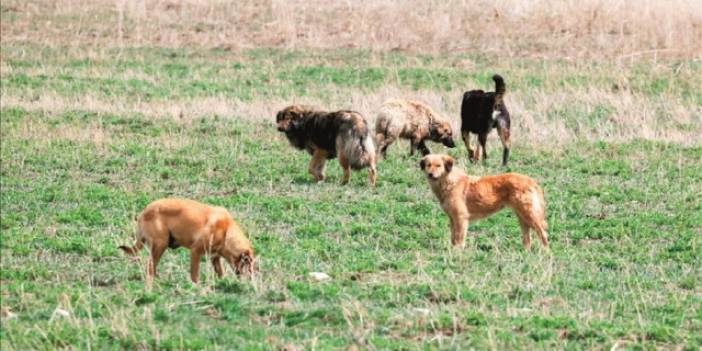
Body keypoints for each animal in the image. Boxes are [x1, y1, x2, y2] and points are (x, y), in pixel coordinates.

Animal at [119, 199, 258, 284]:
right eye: (248, 262)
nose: (252, 278)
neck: (226, 231)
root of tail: (144, 212)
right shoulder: (195, 251)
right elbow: (194, 274)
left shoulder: (215, 257)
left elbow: (220, 273)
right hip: (160, 245)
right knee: (150, 268)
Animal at [418, 155, 552, 250]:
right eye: (428, 165)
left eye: (438, 165)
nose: (430, 174)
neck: (449, 182)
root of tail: (531, 181)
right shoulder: (452, 218)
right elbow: (453, 237)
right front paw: (452, 250)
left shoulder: (461, 218)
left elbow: (459, 238)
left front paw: (458, 252)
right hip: (522, 217)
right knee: (527, 238)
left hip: (529, 215)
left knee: (543, 234)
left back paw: (545, 253)